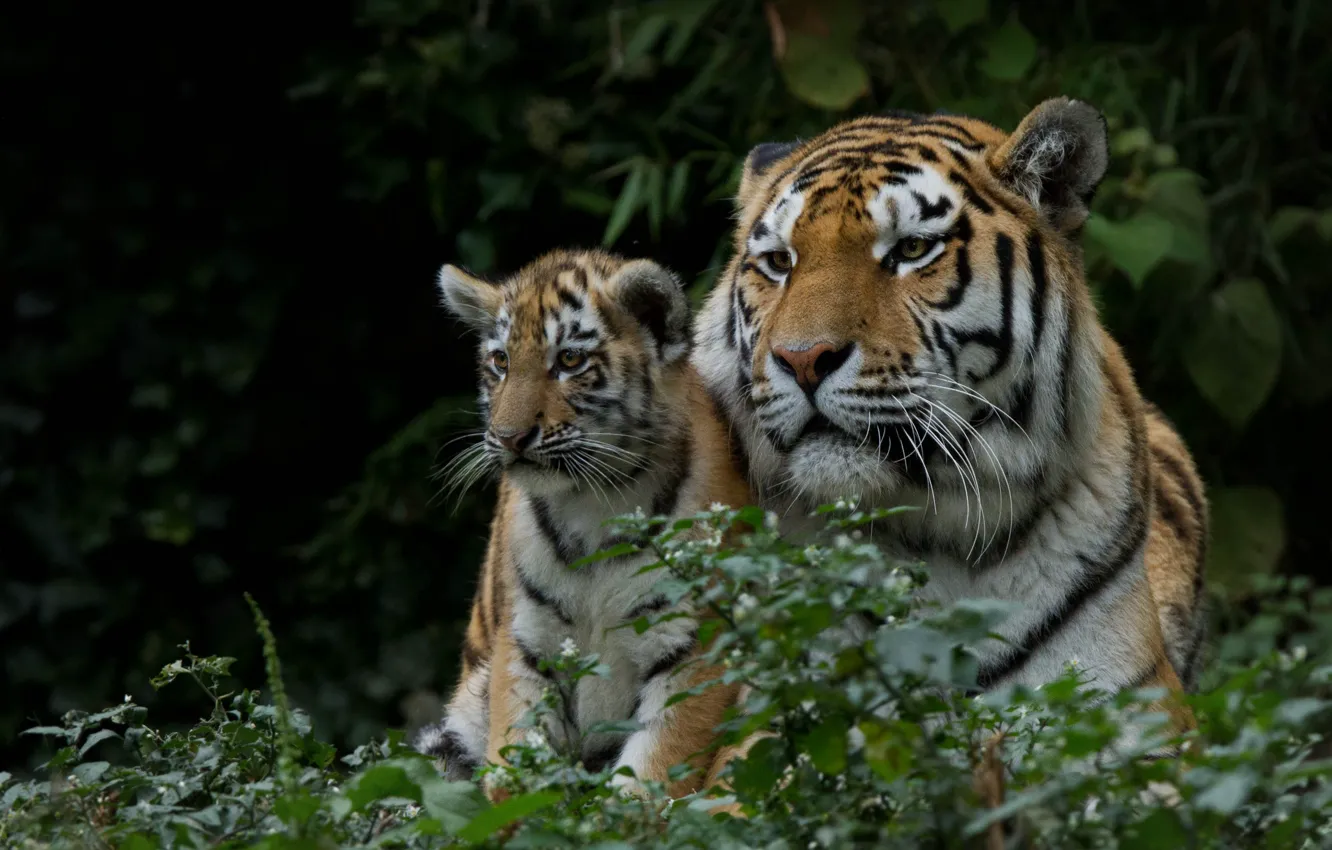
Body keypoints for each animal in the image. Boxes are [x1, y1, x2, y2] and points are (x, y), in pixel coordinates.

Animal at [411, 248, 756, 802]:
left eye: (570, 361)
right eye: (501, 362)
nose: (508, 437)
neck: (594, 500)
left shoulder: (692, 644)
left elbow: (653, 773)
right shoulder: (527, 645)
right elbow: (514, 771)